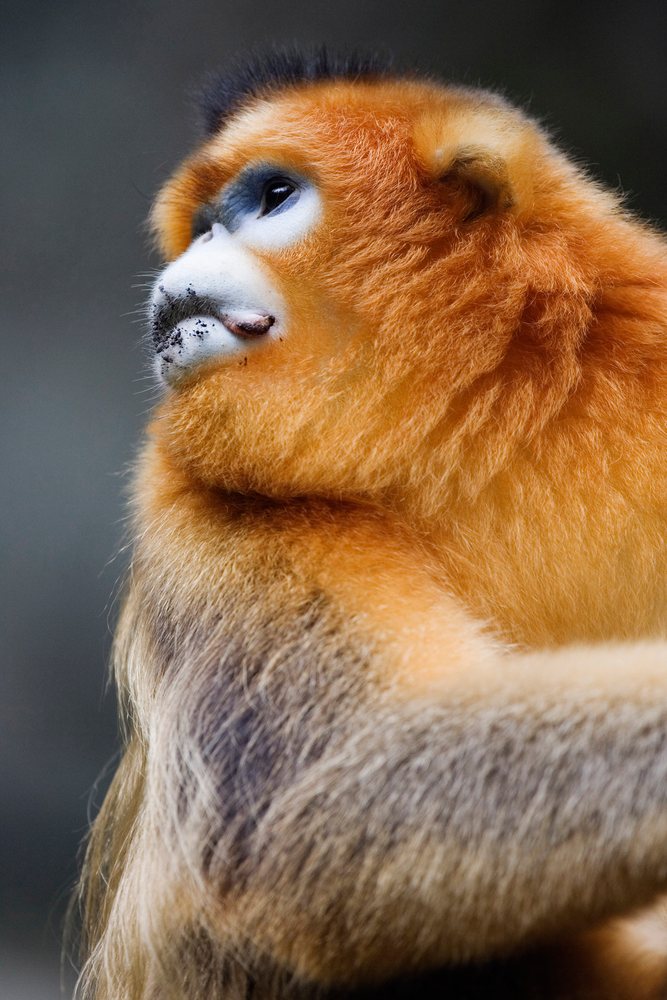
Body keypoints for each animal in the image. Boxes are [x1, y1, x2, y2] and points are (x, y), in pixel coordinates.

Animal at [75, 49, 667, 1000]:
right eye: (199, 225)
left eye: (271, 197)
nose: (197, 252)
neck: (474, 426)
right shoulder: (195, 504)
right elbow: (322, 800)